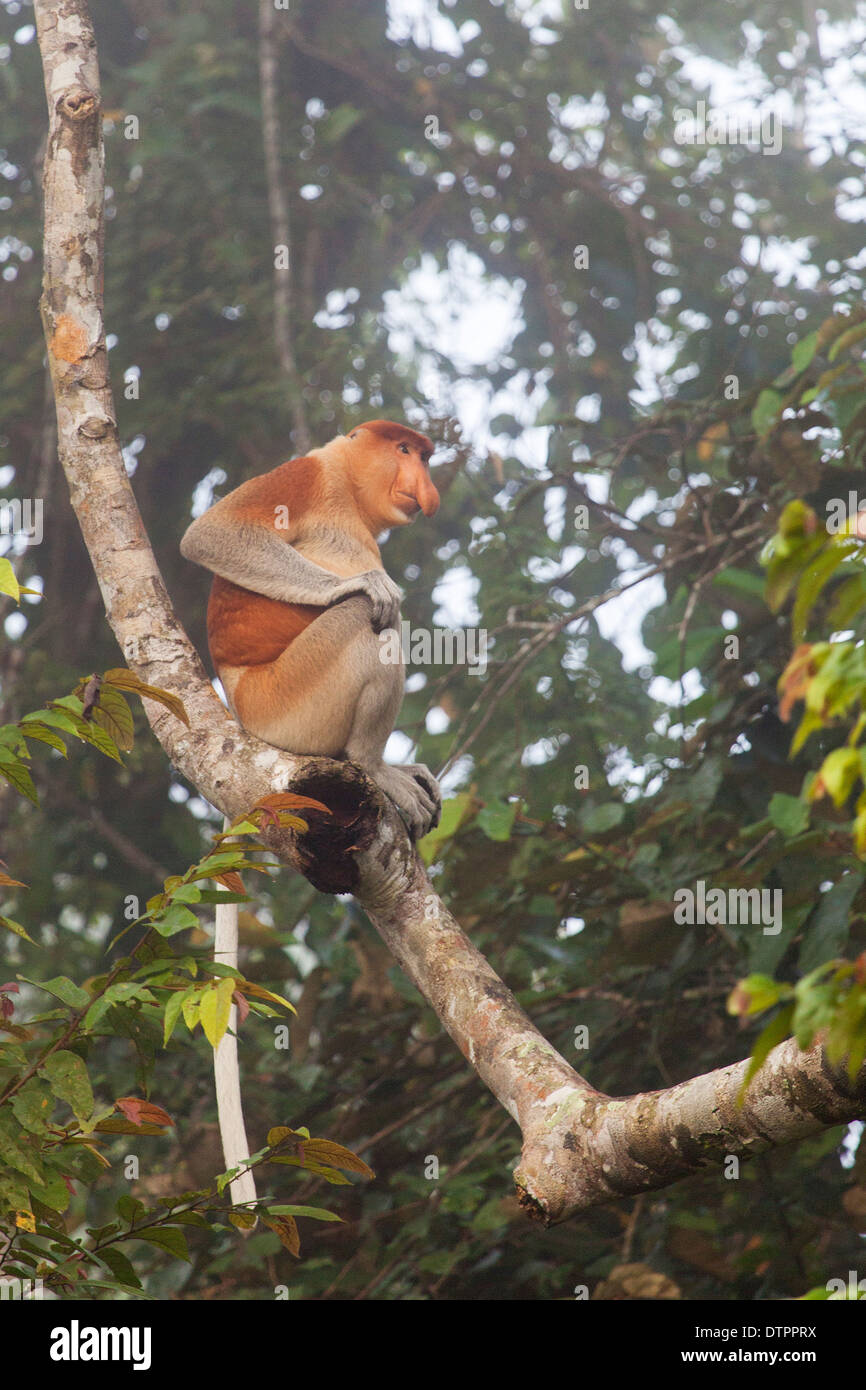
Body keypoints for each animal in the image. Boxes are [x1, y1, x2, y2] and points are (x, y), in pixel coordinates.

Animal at [180, 421, 443, 1206]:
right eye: (405, 449)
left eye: (425, 455)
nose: (426, 485)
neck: (350, 496)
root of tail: (246, 719)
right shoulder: (308, 476)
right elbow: (212, 533)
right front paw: (360, 581)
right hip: (295, 703)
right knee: (371, 622)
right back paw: (377, 770)